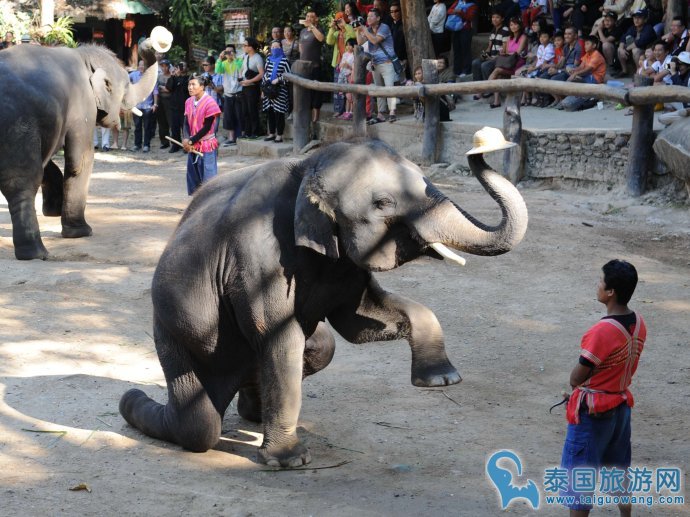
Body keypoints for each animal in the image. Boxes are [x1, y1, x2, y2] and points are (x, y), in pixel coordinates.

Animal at [0, 41, 157, 258]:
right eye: (126, 86)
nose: (148, 44)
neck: (84, 56)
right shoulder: (83, 105)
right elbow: (79, 160)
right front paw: (81, 233)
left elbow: (49, 161)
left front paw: (53, 211)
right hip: (18, 124)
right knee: (22, 182)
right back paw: (37, 253)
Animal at [119, 137, 528, 468]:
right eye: (383, 203)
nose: (482, 148)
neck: (307, 169)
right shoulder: (257, 259)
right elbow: (280, 339)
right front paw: (289, 462)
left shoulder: (343, 262)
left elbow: (357, 321)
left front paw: (441, 380)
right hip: (170, 333)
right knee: (199, 426)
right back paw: (132, 400)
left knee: (321, 345)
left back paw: (253, 411)